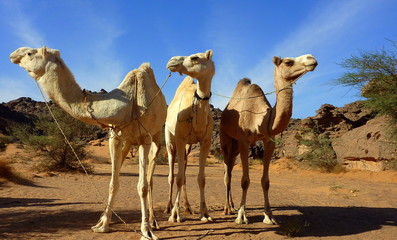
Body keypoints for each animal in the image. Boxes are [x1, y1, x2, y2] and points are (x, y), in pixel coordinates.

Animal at [10, 46, 166, 239]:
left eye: (30, 53)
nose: (13, 55)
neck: (129, 105)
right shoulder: (115, 137)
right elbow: (113, 184)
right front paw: (103, 225)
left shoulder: (144, 138)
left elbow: (142, 186)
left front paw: (146, 231)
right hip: (128, 142)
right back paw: (105, 217)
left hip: (156, 137)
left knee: (150, 178)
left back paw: (153, 222)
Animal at [163, 49, 215, 223]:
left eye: (195, 58)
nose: (171, 61)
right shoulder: (180, 138)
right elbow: (178, 178)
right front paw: (174, 214)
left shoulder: (205, 142)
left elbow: (201, 179)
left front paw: (205, 213)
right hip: (169, 139)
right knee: (172, 175)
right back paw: (168, 207)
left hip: (189, 146)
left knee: (184, 172)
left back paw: (187, 207)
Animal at [220, 54, 316, 225]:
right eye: (288, 62)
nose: (312, 58)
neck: (261, 118)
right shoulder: (243, 141)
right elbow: (245, 180)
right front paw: (241, 216)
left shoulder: (269, 141)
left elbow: (265, 182)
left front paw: (269, 216)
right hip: (225, 138)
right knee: (227, 174)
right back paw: (227, 209)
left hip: (234, 145)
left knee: (229, 169)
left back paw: (232, 205)